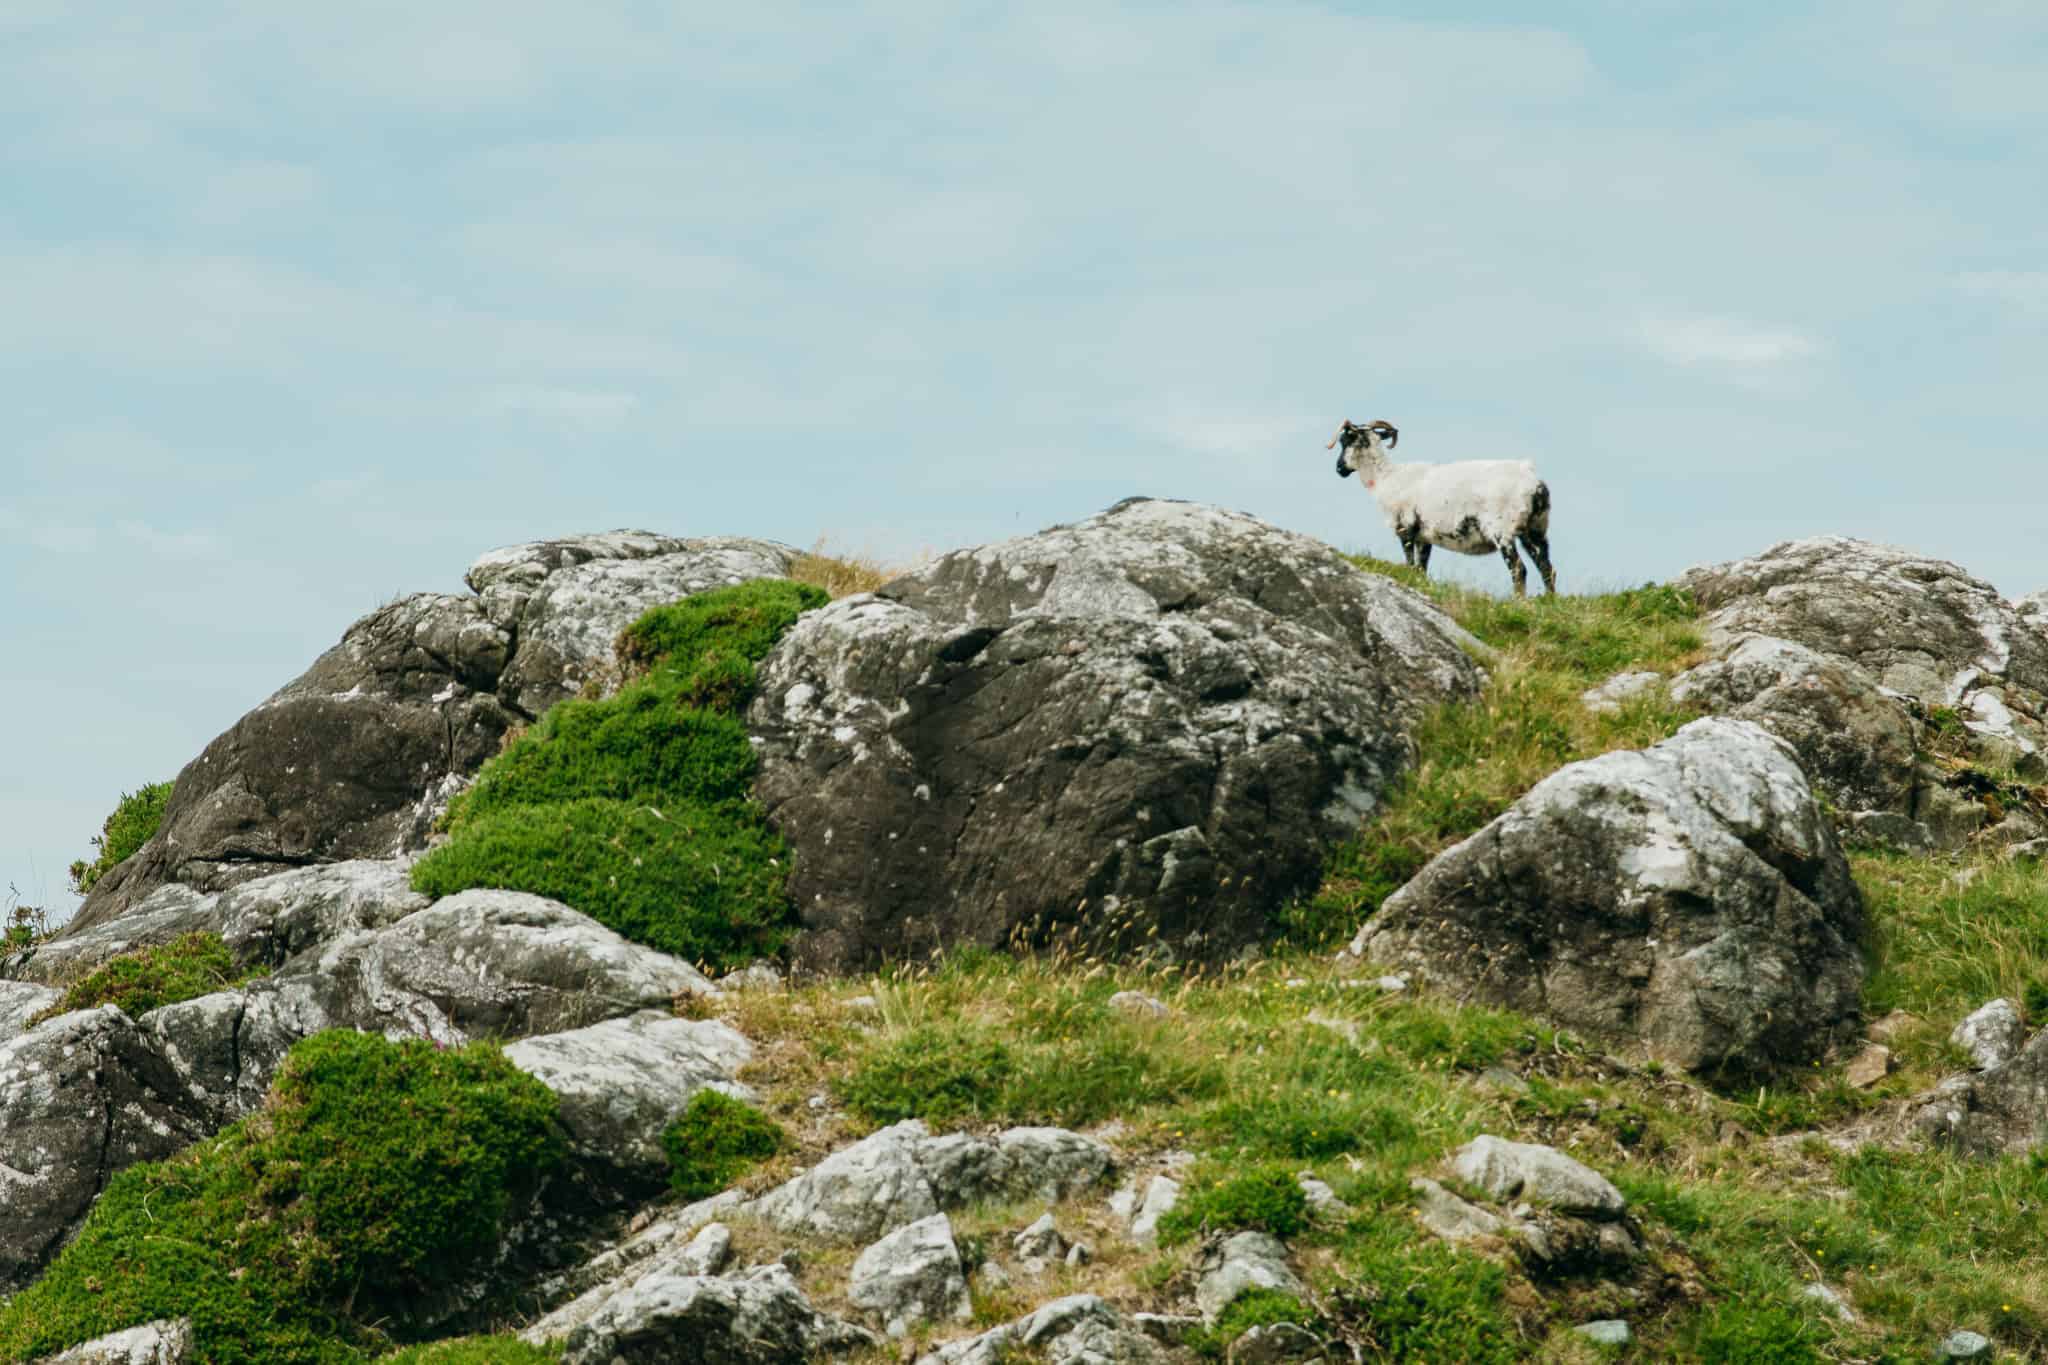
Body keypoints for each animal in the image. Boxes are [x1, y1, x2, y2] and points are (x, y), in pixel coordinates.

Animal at [1326, 418, 1557, 597]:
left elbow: (1410, 564)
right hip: (1535, 528)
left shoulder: (1405, 528)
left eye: (1346, 441)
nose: (1339, 469)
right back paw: (1548, 603)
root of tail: (1534, 481)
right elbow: (1421, 569)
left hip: (1503, 530)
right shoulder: (1424, 536)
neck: (1386, 478)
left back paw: (1520, 603)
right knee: (1546, 567)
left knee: (1519, 570)